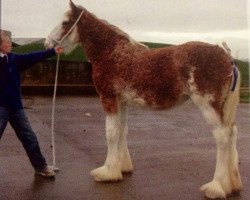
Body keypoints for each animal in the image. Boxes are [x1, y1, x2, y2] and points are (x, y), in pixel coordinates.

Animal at [45, 1, 242, 198]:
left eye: (65, 22)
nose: (47, 43)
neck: (112, 53)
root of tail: (227, 57)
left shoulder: (108, 99)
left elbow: (111, 133)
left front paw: (106, 172)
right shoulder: (122, 103)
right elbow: (122, 131)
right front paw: (122, 167)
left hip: (208, 106)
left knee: (222, 138)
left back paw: (215, 187)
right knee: (232, 133)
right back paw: (232, 185)